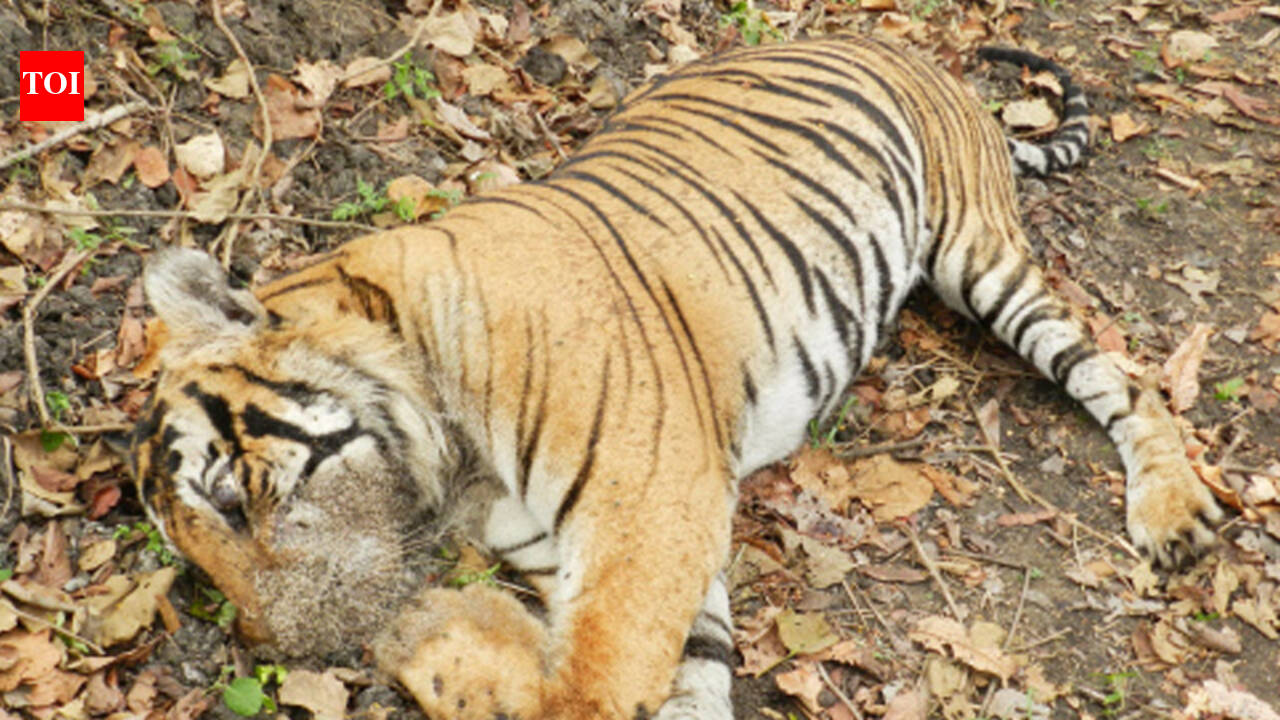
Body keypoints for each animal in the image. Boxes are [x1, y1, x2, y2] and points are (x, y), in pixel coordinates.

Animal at [129, 35, 1222, 720]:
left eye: (234, 497)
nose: (281, 652)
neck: (447, 462)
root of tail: (919, 50)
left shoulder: (649, 507)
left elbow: (583, 691)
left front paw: (429, 634)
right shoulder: (642, 537)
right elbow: (681, 681)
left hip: (981, 258)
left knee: (1123, 379)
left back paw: (1173, 513)